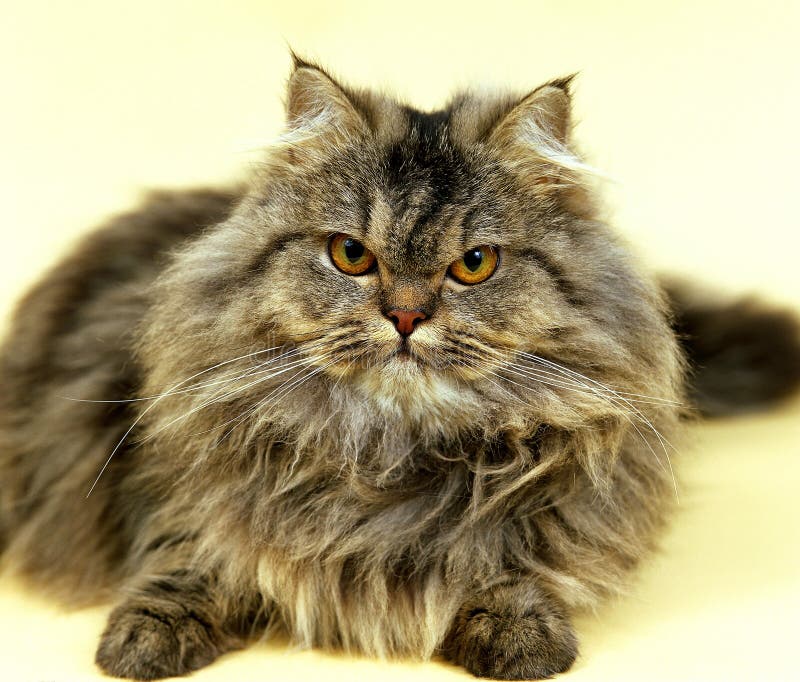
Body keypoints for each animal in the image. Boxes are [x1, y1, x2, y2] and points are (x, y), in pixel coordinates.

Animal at [1, 55, 800, 676]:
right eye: (352, 255)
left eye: (474, 264)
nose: (408, 317)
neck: (388, 452)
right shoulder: (164, 485)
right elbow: (191, 554)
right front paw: (145, 636)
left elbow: (511, 562)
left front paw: (518, 631)